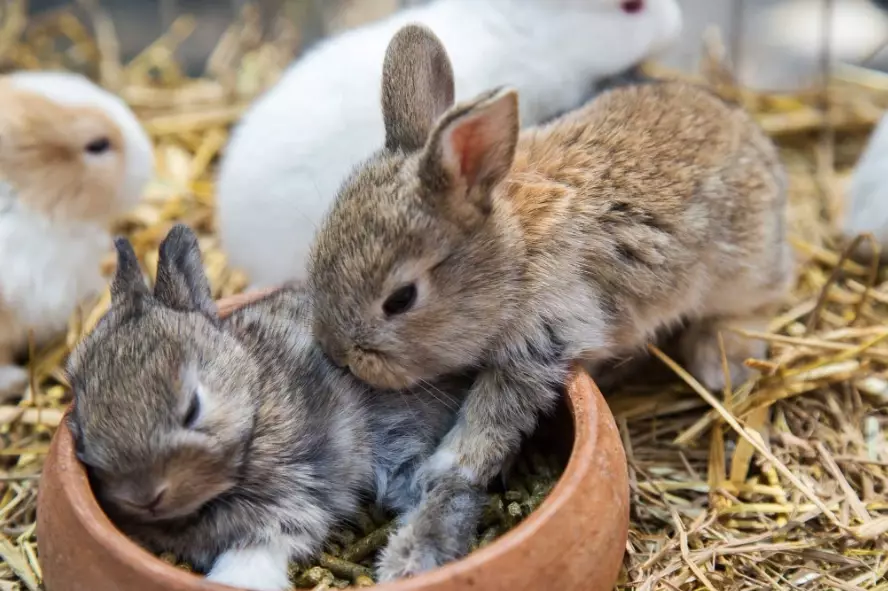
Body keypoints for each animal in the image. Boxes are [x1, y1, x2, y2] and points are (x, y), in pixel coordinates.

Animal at [308, 23, 793, 578]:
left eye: (401, 298)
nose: (337, 354)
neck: (514, 256)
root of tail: (757, 141)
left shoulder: (539, 345)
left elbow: (489, 422)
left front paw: (441, 476)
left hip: (743, 273)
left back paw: (718, 363)